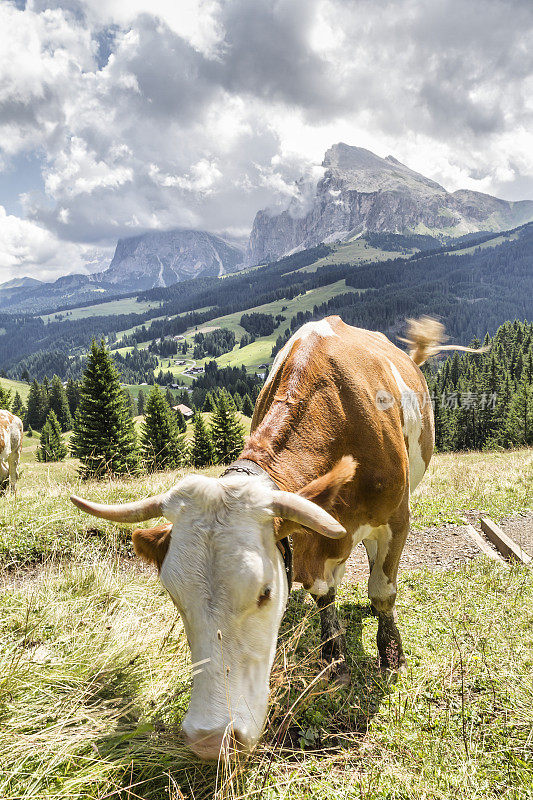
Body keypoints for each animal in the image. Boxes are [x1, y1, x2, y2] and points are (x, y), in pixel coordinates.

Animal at [70, 316, 482, 760]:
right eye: (175, 597)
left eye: (264, 592)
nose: (211, 739)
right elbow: (324, 593)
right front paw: (334, 660)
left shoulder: (396, 518)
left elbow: (382, 591)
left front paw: (391, 657)